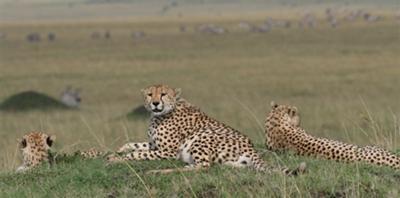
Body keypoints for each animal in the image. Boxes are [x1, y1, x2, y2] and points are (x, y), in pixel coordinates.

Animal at [108, 85, 304, 175]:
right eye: (150, 94)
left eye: (163, 94)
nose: (155, 103)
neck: (160, 114)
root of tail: (251, 147)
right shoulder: (154, 146)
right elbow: (132, 145)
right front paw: (116, 152)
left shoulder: (168, 151)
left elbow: (138, 154)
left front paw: (115, 159)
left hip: (201, 136)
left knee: (203, 166)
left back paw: (157, 171)